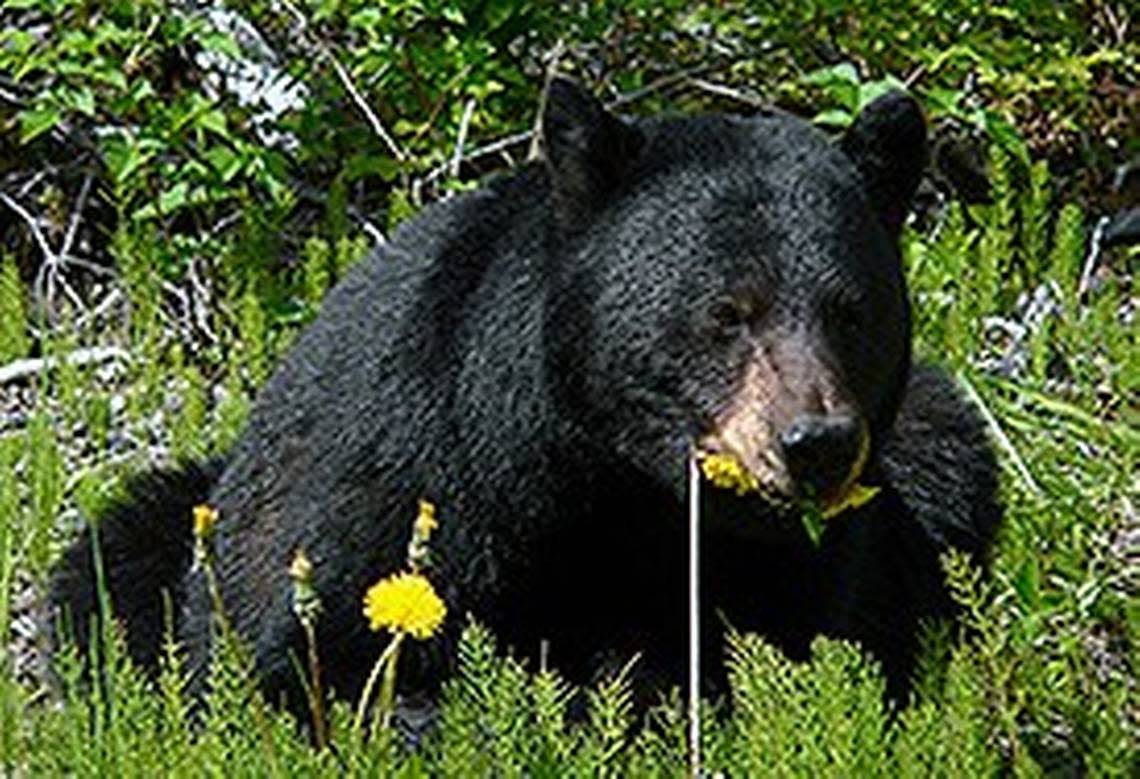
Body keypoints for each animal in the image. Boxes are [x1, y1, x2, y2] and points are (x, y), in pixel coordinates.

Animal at [53, 80, 998, 711]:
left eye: (851, 311)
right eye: (727, 311)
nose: (816, 443)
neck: (606, 480)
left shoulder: (791, 560)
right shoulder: (406, 474)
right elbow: (314, 655)